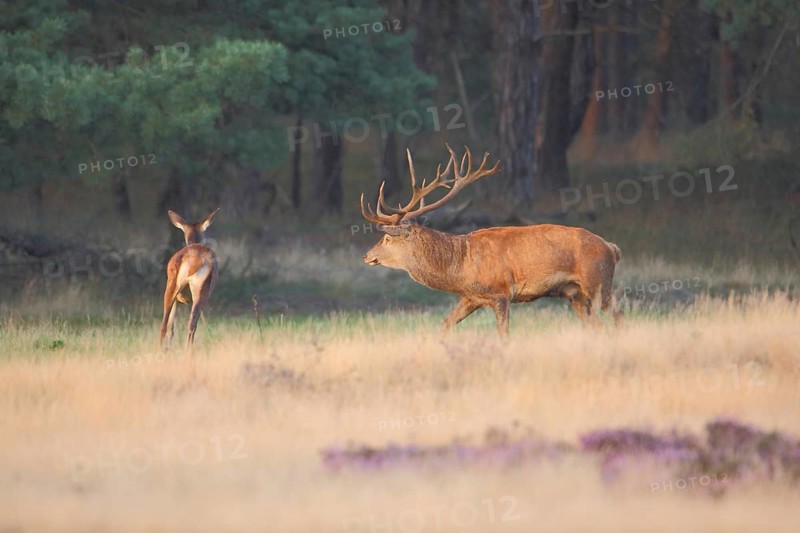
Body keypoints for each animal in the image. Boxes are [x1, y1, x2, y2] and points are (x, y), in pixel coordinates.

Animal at [158, 208, 220, 352]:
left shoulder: (177, 299)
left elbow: (170, 329)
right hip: (199, 290)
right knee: (192, 325)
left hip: (171, 286)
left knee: (163, 325)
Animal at [360, 145, 622, 336]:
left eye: (386, 238)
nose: (366, 255)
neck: (460, 267)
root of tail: (612, 247)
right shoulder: (470, 297)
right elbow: (444, 325)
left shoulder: (501, 292)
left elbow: (503, 334)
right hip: (574, 293)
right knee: (597, 325)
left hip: (598, 281)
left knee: (617, 315)